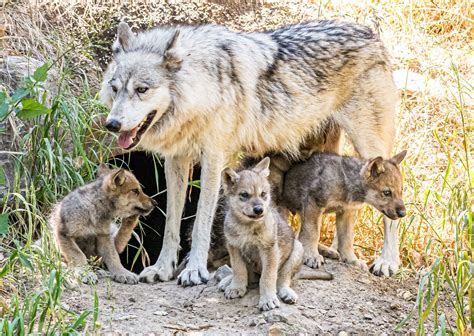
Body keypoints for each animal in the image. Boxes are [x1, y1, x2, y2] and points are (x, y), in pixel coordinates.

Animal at [100, 19, 400, 284]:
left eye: (142, 89)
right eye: (115, 89)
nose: (112, 125)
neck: (203, 86)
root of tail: (370, 34)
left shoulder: (214, 159)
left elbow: (201, 222)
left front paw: (194, 270)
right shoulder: (176, 161)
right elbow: (171, 223)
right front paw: (162, 268)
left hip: (370, 147)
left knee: (392, 199)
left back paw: (387, 261)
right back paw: (337, 251)